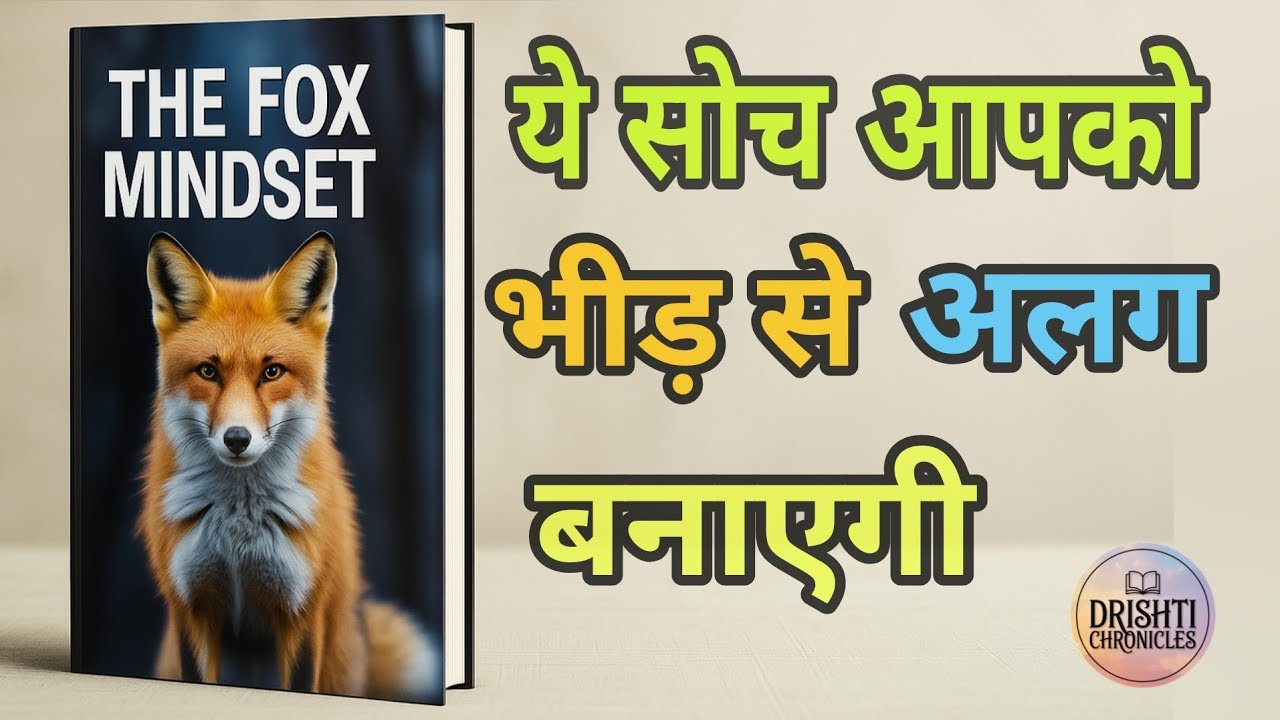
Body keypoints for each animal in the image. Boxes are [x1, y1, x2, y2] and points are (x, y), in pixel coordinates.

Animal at [136, 231, 436, 701]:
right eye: (208, 371)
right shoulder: (192, 607)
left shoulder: (300, 611)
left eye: (272, 372)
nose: (237, 439)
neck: (238, 530)